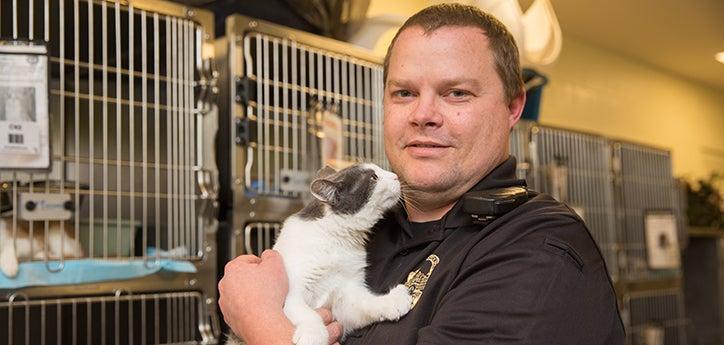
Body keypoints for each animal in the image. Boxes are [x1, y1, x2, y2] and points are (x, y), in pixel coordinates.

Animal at [229, 163, 416, 344]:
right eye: (373, 177)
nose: (395, 176)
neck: (333, 238)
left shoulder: (345, 297)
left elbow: (363, 303)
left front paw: (391, 301)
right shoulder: (293, 291)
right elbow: (305, 312)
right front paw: (313, 334)